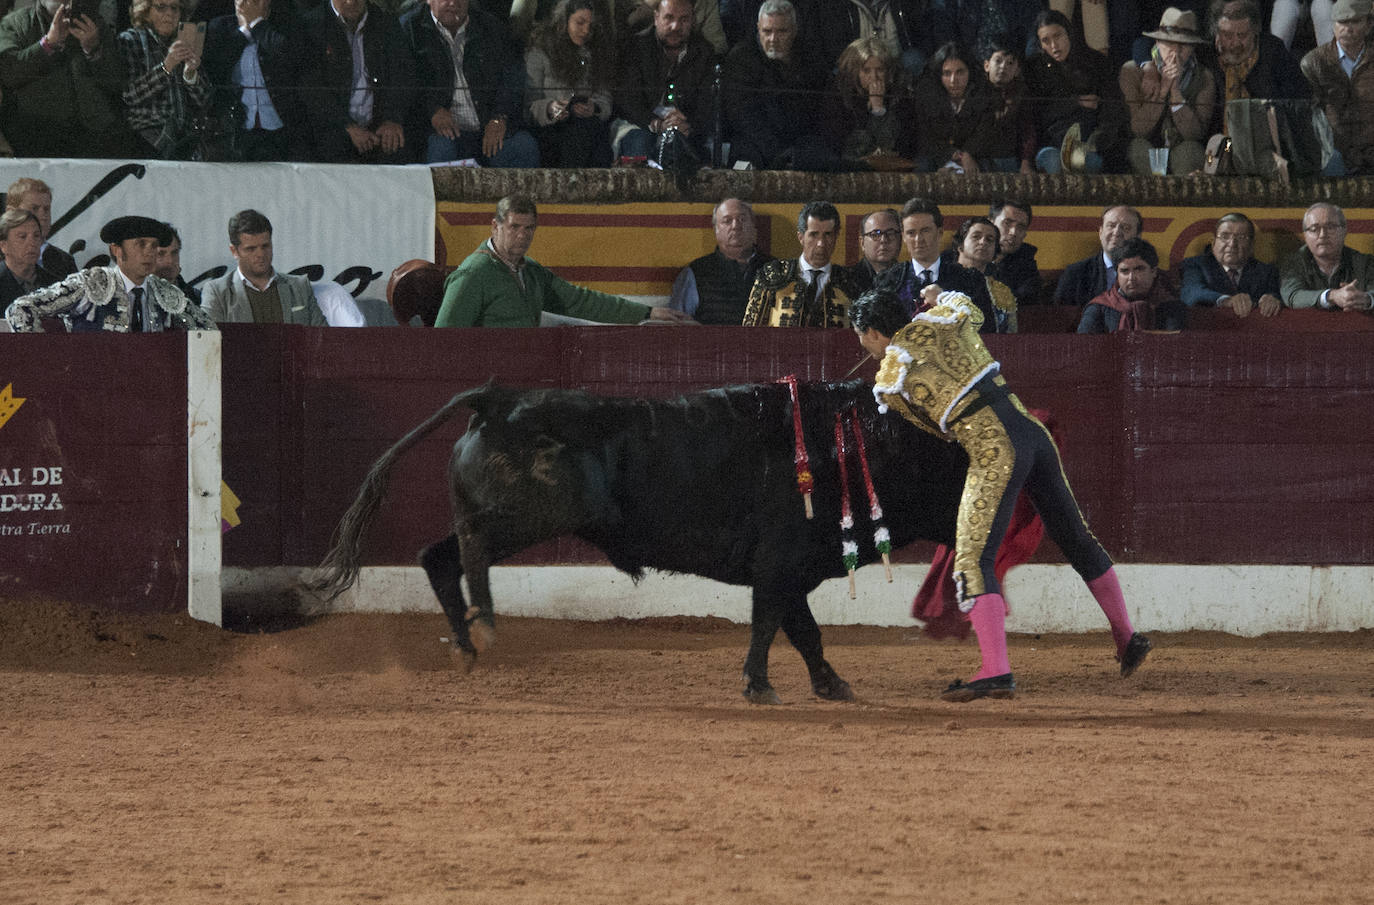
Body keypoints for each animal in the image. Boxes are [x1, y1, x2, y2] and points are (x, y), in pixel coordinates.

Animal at [316, 379, 972, 703]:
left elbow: (802, 630)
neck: (854, 446)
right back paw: (486, 622)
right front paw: (759, 685)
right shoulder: (779, 563)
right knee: (469, 548)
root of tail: (499, 401)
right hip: (530, 517)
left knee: (437, 557)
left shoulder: (790, 570)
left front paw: (830, 685)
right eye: (958, 467)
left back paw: (466, 644)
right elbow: (772, 624)